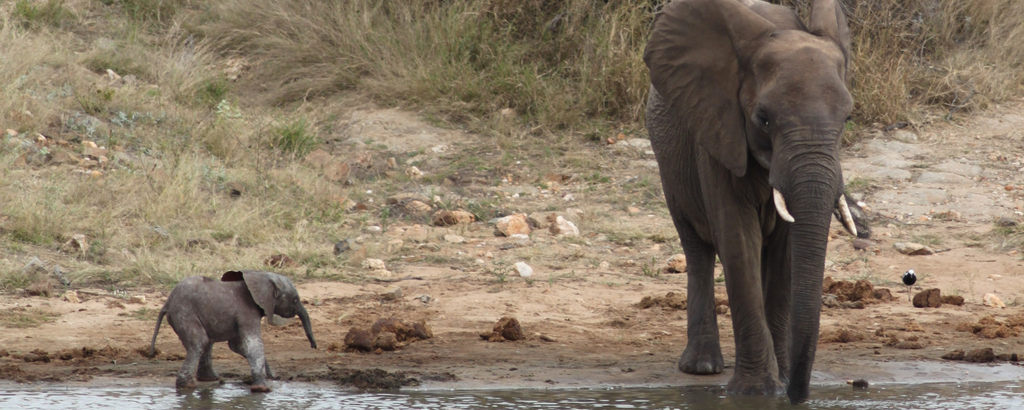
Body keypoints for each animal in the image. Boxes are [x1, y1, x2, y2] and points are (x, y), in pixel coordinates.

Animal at [149, 270, 313, 391]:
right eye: (295, 300)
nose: (314, 346)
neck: (260, 276)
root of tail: (168, 302)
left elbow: (238, 345)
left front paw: (269, 376)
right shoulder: (247, 311)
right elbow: (252, 344)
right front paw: (262, 389)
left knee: (206, 342)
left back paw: (209, 379)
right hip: (184, 314)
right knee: (200, 342)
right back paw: (187, 385)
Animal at [647, 0, 856, 403]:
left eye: (847, 117)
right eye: (763, 119)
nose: (798, 395)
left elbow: (785, 253)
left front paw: (780, 382)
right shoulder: (718, 131)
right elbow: (737, 239)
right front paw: (758, 392)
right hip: (670, 164)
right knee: (696, 247)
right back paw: (702, 367)